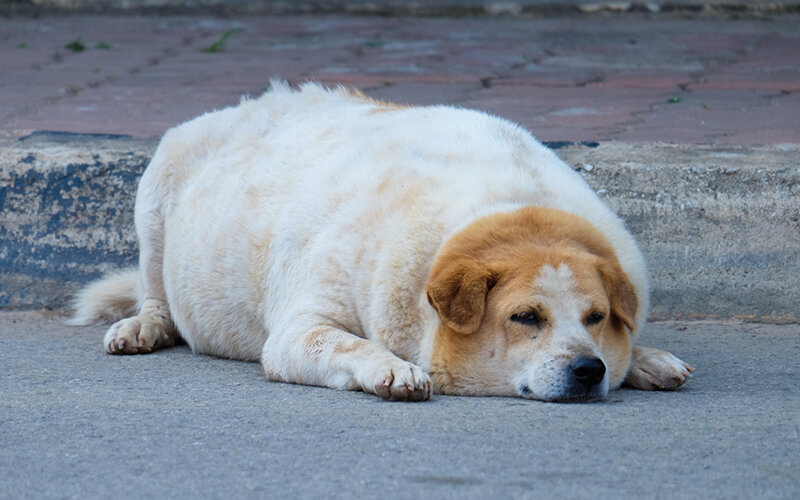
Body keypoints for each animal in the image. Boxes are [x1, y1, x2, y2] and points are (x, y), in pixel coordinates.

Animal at [70, 82, 692, 402]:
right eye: (525, 318)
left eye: (595, 317)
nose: (588, 370)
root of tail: (249, 104)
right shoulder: (300, 329)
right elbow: (347, 345)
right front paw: (394, 370)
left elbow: (631, 347)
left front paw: (644, 359)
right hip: (156, 189)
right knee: (155, 293)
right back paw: (143, 326)